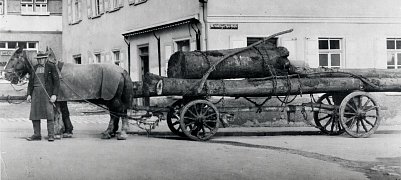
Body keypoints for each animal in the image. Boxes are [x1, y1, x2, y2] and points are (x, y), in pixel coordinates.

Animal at [3, 47, 133, 139]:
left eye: (13, 59)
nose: (5, 75)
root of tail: (122, 71)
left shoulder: (56, 98)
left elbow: (57, 114)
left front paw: (57, 132)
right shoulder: (62, 98)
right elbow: (65, 113)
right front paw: (66, 131)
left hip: (113, 99)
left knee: (119, 112)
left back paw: (119, 133)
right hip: (111, 99)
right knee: (115, 113)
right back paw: (111, 132)